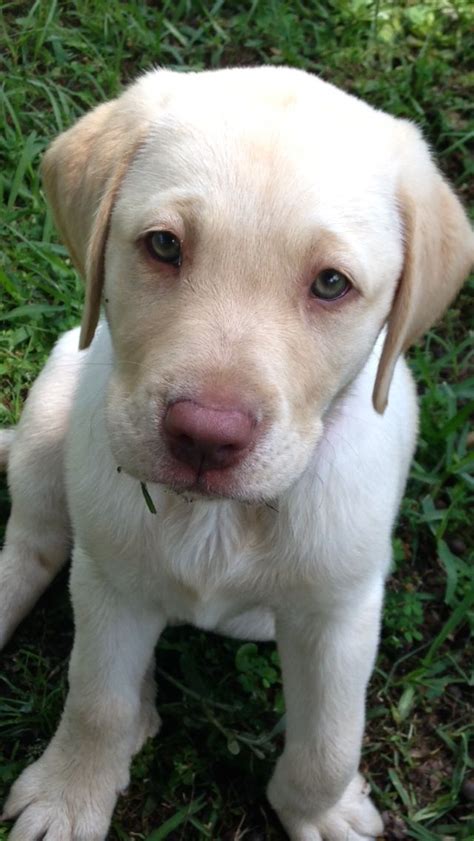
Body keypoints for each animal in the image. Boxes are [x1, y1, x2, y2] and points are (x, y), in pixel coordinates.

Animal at [0, 67, 472, 840]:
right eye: (164, 246)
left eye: (332, 283)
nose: (205, 433)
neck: (218, 516)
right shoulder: (110, 582)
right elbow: (94, 699)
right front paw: (70, 797)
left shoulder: (340, 613)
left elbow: (329, 739)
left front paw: (321, 811)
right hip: (54, 403)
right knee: (33, 546)